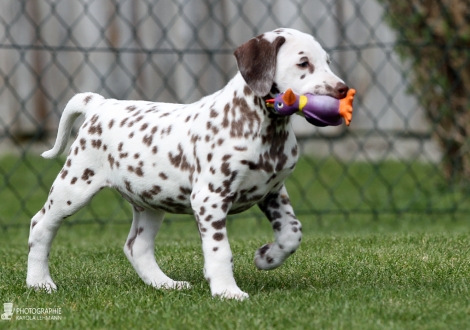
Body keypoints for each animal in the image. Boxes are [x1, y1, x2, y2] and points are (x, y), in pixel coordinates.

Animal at [26, 28, 348, 300]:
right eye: (303, 63)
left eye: (328, 62)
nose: (343, 90)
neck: (263, 128)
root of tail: (100, 104)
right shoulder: (210, 199)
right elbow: (220, 250)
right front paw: (227, 291)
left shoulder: (272, 190)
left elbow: (292, 231)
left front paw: (267, 257)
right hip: (75, 186)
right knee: (40, 225)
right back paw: (39, 282)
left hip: (151, 201)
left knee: (136, 247)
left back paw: (165, 284)